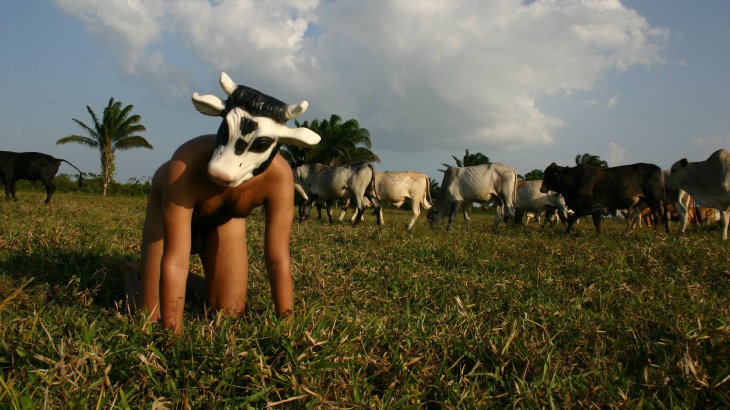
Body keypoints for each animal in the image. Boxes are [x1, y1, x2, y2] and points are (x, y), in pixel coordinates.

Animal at [536, 163, 668, 234]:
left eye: (550, 173)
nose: (541, 188)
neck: (573, 180)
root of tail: (659, 169)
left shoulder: (587, 207)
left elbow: (573, 218)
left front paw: (566, 232)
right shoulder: (596, 209)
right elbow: (597, 223)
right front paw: (599, 234)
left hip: (653, 200)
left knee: (658, 217)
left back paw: (655, 233)